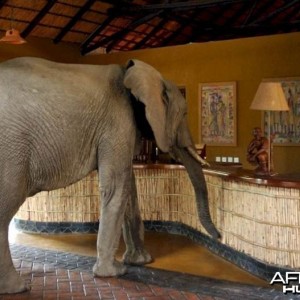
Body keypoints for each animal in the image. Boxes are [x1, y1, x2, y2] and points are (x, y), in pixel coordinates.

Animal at [0, 56, 220, 292]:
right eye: (185, 113)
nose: (220, 236)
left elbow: (128, 188)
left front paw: (141, 261)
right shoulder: (118, 122)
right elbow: (117, 186)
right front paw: (114, 273)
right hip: (11, 149)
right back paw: (17, 287)